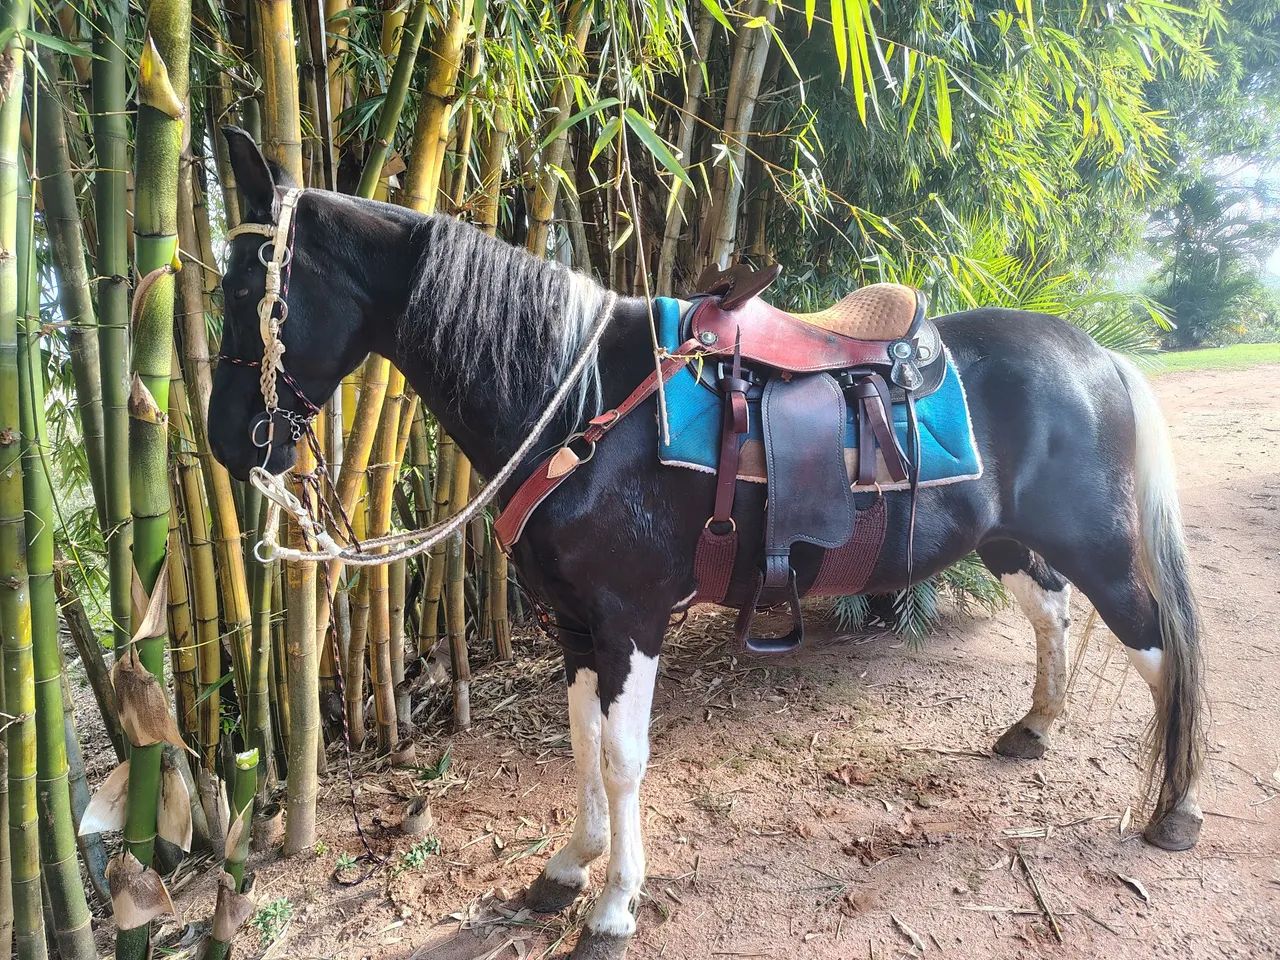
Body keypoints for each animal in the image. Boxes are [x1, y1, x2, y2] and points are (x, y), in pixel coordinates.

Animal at [208, 129, 1206, 960]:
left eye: (257, 290)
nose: (227, 441)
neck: (579, 407)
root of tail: (1099, 356)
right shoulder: (576, 627)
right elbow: (582, 745)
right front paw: (567, 867)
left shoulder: (631, 619)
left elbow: (622, 758)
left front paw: (614, 908)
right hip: (1008, 540)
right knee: (1053, 615)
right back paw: (1033, 729)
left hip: (1097, 545)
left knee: (1162, 647)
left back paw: (1177, 810)